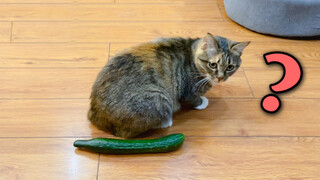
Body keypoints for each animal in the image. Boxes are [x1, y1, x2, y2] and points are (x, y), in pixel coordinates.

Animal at [87, 33, 250, 138]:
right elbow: (193, 99)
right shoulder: (188, 91)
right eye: (213, 64)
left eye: (230, 67)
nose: (221, 78)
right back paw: (166, 121)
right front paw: (202, 101)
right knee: (126, 133)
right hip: (158, 97)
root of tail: (94, 112)